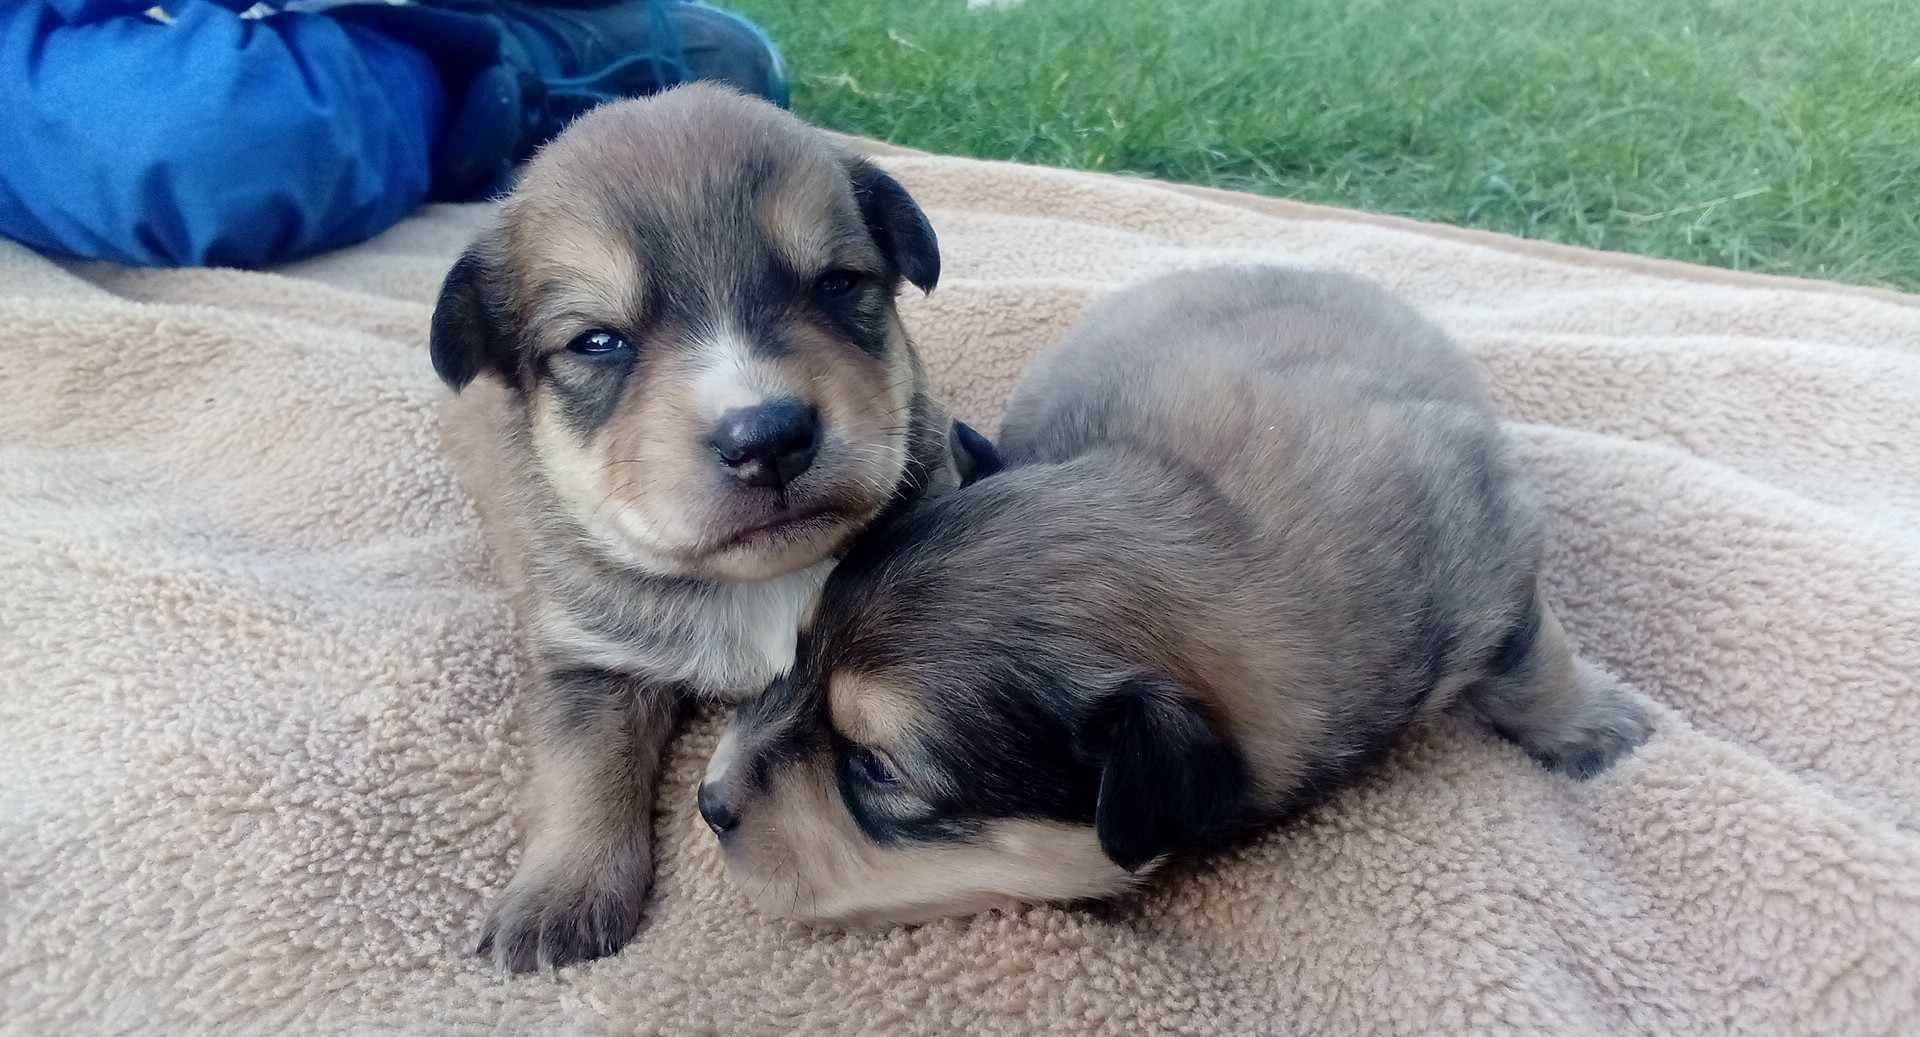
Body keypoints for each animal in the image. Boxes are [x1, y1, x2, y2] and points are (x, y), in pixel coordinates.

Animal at [430, 83, 990, 971]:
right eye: (597, 340)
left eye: (837, 283)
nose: (766, 437)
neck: (759, 580)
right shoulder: (588, 659)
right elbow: (582, 770)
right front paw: (559, 897)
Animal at [698, 265, 1658, 921]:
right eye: (795, 657)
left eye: (874, 768)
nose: (707, 802)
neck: (1210, 522)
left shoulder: (1491, 537)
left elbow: (1530, 651)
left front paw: (1594, 729)